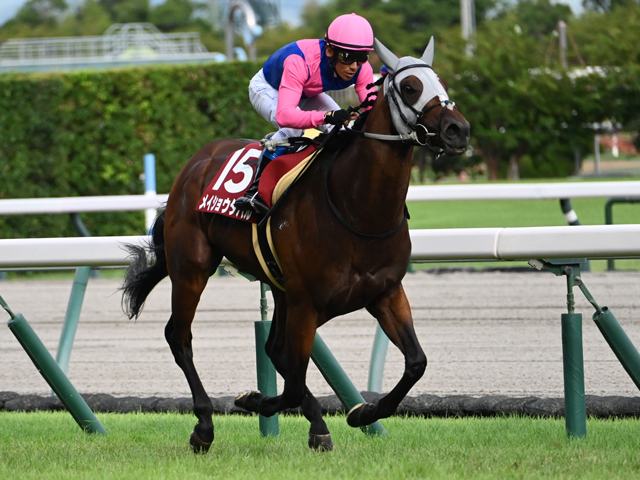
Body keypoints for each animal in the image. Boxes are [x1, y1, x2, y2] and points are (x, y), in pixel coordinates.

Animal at [122, 36, 470, 450]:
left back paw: (316, 425)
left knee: (273, 349)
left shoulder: (385, 292)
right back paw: (204, 427)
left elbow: (416, 363)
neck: (356, 208)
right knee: (180, 336)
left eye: (441, 82)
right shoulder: (307, 302)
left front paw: (363, 412)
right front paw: (254, 400)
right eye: (410, 87)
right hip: (192, 267)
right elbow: (290, 383)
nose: (458, 130)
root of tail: (195, 163)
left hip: (278, 286)